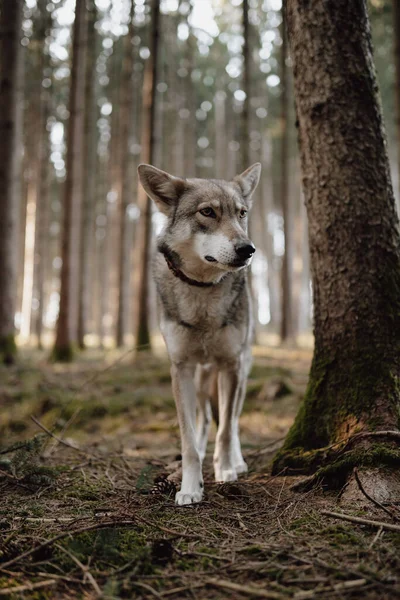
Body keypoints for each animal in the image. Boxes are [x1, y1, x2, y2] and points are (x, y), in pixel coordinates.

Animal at [138, 162, 262, 504]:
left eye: (242, 213)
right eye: (207, 212)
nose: (248, 249)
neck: (203, 292)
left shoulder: (230, 365)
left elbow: (226, 431)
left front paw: (225, 472)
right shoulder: (180, 368)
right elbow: (188, 439)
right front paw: (190, 488)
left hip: (239, 371)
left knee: (231, 421)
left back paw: (236, 462)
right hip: (200, 376)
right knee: (204, 418)